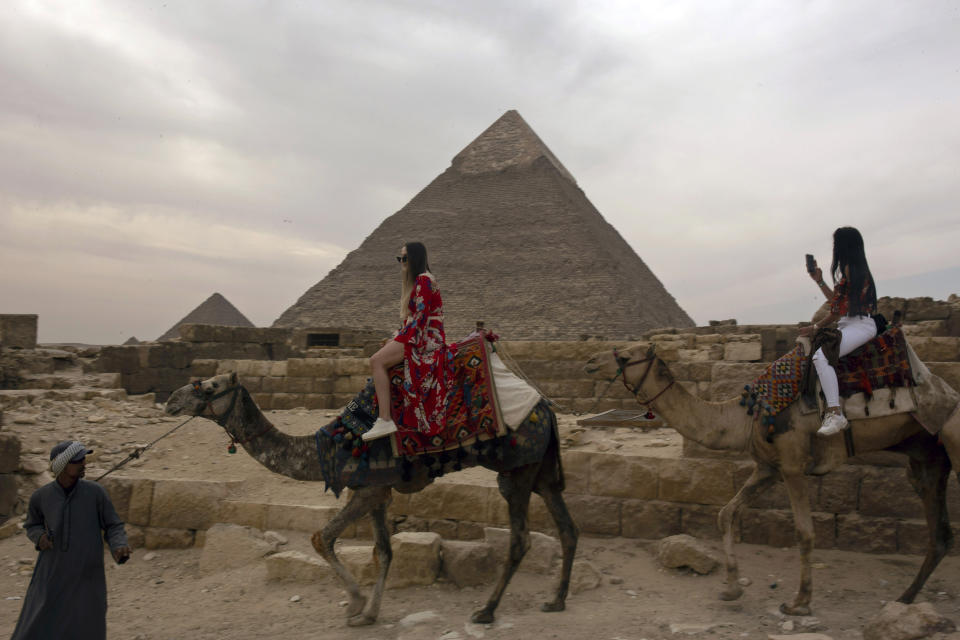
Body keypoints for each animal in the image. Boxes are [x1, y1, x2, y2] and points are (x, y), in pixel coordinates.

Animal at [163, 372, 576, 628]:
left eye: (209, 386)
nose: (170, 401)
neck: (323, 450)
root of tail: (546, 408)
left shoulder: (366, 490)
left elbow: (322, 537)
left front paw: (357, 603)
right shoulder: (378, 491)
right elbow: (384, 551)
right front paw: (368, 614)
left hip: (517, 471)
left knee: (520, 539)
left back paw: (486, 611)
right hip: (541, 473)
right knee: (567, 529)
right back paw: (556, 601)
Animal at [580, 342, 960, 616]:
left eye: (625, 355)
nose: (589, 361)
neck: (744, 415)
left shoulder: (792, 466)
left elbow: (805, 533)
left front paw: (799, 603)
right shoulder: (768, 468)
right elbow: (726, 514)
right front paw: (731, 589)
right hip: (926, 459)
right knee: (940, 533)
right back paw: (905, 598)